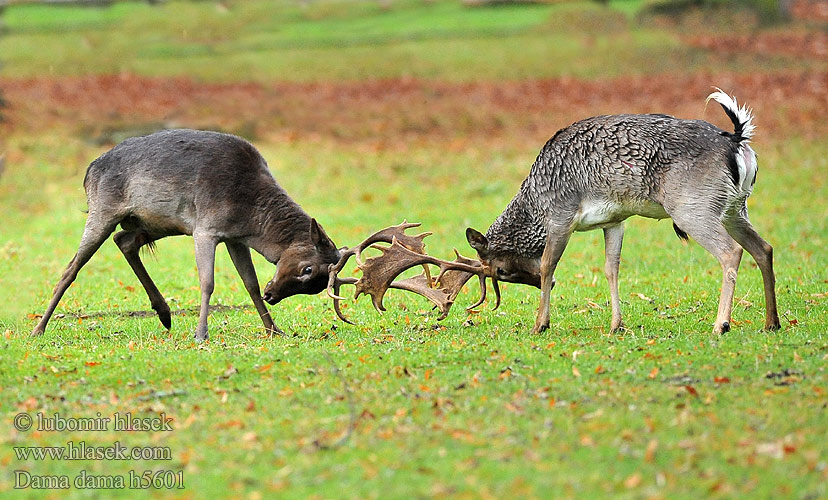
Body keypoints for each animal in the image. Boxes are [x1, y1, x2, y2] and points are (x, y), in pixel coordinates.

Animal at [32, 128, 342, 344]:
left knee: (123, 241)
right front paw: (201, 334)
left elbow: (250, 283)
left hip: (155, 224)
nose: (273, 295)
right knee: (72, 268)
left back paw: (164, 313)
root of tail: (89, 170)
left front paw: (274, 330)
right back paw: (38, 328)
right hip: (102, 209)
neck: (251, 215)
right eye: (308, 269)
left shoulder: (234, 238)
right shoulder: (206, 228)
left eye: (315, 284)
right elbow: (208, 282)